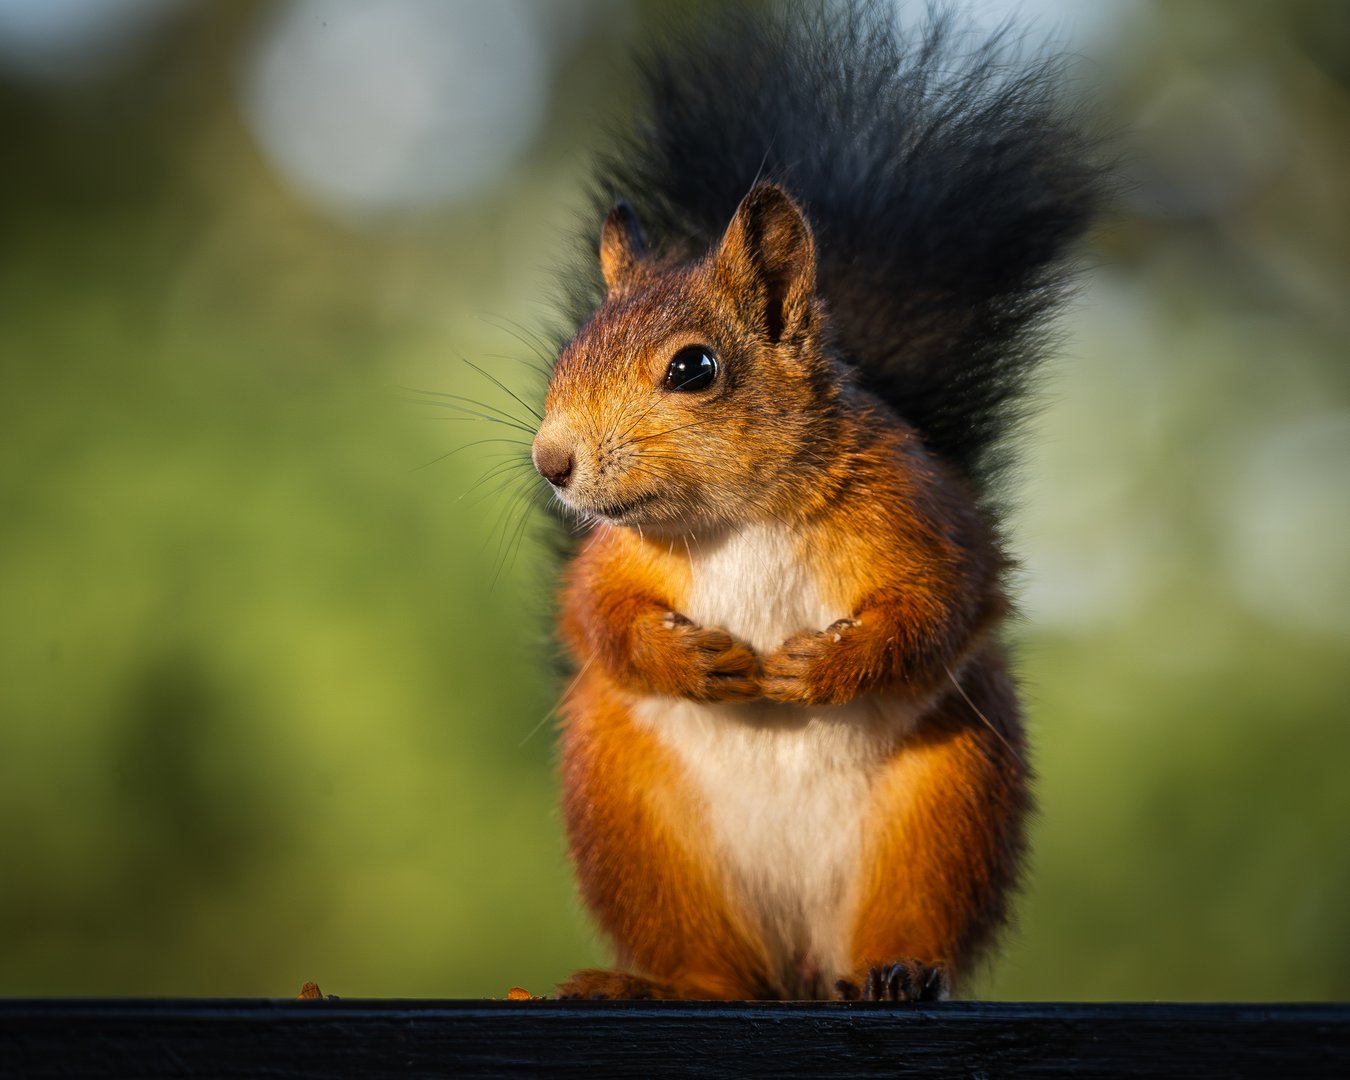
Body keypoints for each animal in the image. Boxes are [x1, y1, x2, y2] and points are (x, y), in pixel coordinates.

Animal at [526, 2, 1103, 1001]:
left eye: (694, 368)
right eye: (571, 352)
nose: (551, 461)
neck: (737, 519)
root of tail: (797, 959)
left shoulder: (923, 514)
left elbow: (944, 604)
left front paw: (824, 667)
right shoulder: (613, 556)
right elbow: (593, 614)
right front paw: (689, 660)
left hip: (946, 808)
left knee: (899, 927)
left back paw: (897, 973)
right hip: (633, 817)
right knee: (719, 973)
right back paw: (668, 984)